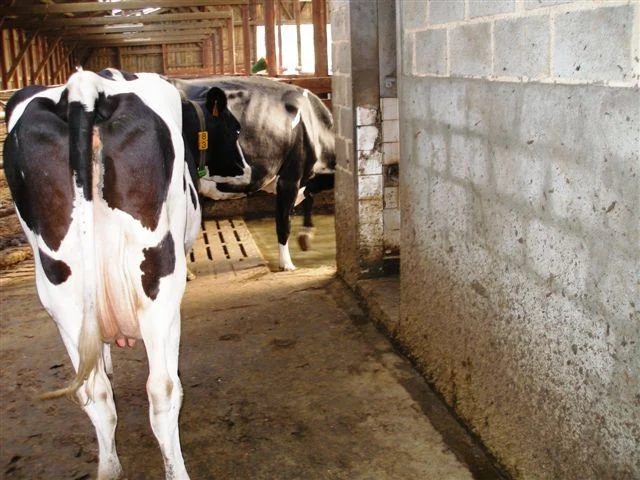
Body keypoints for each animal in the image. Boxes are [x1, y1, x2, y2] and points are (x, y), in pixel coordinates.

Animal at [2, 68, 244, 480]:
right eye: (236, 128)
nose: (245, 168)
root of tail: (85, 89)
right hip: (157, 283)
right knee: (162, 390)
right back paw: (175, 469)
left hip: (59, 290)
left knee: (95, 392)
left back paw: (109, 466)